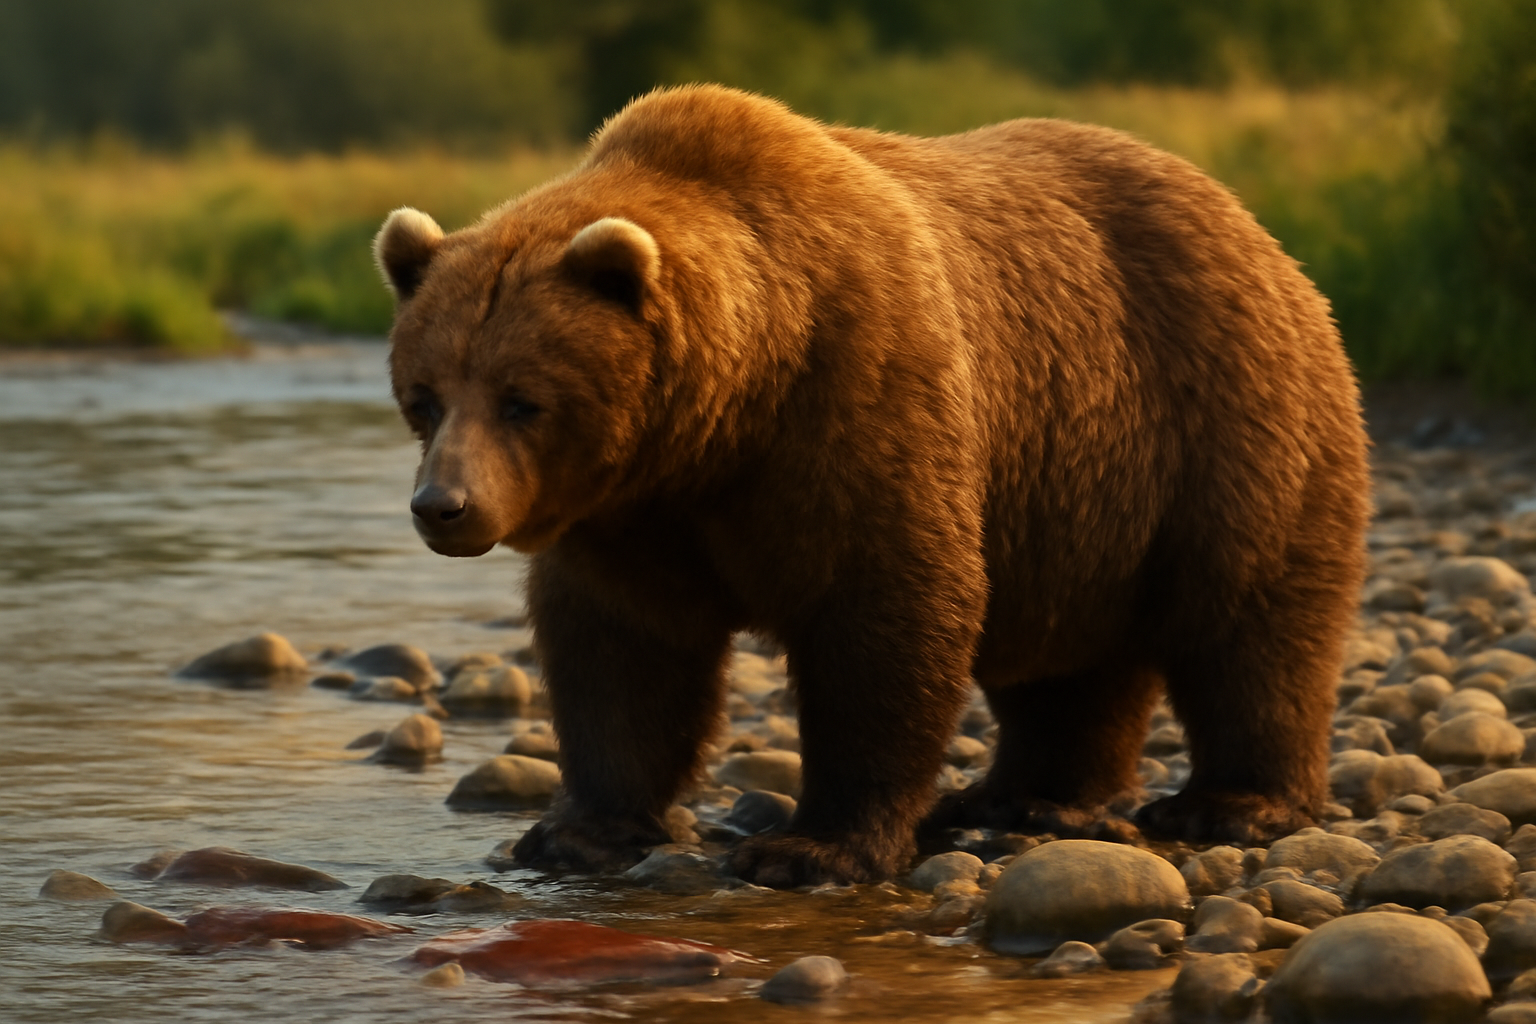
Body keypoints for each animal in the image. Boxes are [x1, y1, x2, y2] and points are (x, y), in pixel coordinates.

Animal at [373, 84, 1369, 888]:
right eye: (424, 395)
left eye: (522, 400)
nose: (443, 506)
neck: (722, 419)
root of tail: (1246, 217)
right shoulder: (631, 515)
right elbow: (621, 650)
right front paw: (576, 831)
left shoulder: (856, 401)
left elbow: (883, 618)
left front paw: (809, 848)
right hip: (1081, 498)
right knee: (1069, 658)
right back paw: (1019, 797)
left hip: (1220, 415)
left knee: (1252, 619)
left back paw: (1228, 802)